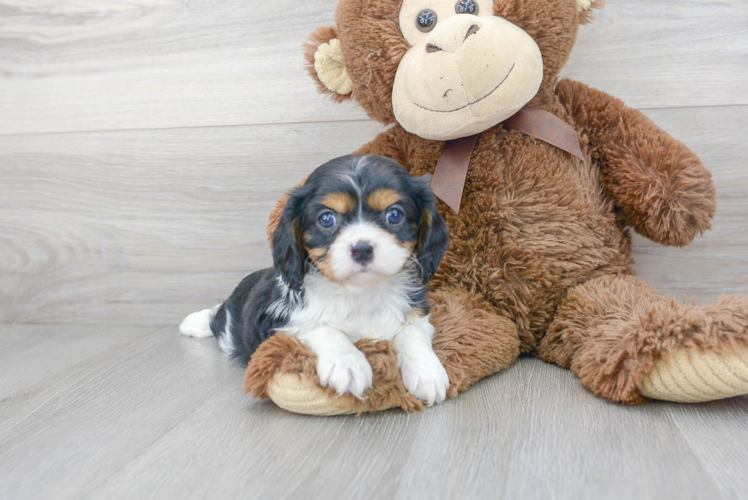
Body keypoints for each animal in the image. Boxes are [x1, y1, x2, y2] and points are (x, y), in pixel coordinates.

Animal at [181, 155, 450, 406]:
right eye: (326, 219)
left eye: (394, 215)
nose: (362, 249)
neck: (359, 293)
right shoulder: (279, 324)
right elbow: (322, 328)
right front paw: (348, 363)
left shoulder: (416, 311)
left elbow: (412, 333)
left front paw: (427, 372)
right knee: (217, 317)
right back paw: (194, 322)